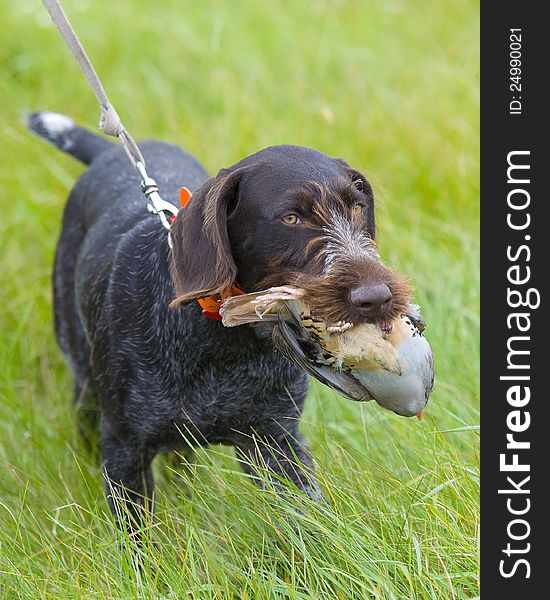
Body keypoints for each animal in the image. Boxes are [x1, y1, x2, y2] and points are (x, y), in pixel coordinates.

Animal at [28, 110, 412, 528]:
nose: (377, 298)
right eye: (291, 217)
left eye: (357, 208)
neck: (224, 341)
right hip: (83, 380)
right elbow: (139, 540)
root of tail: (108, 154)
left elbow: (308, 523)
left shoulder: (275, 441)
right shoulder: (124, 451)